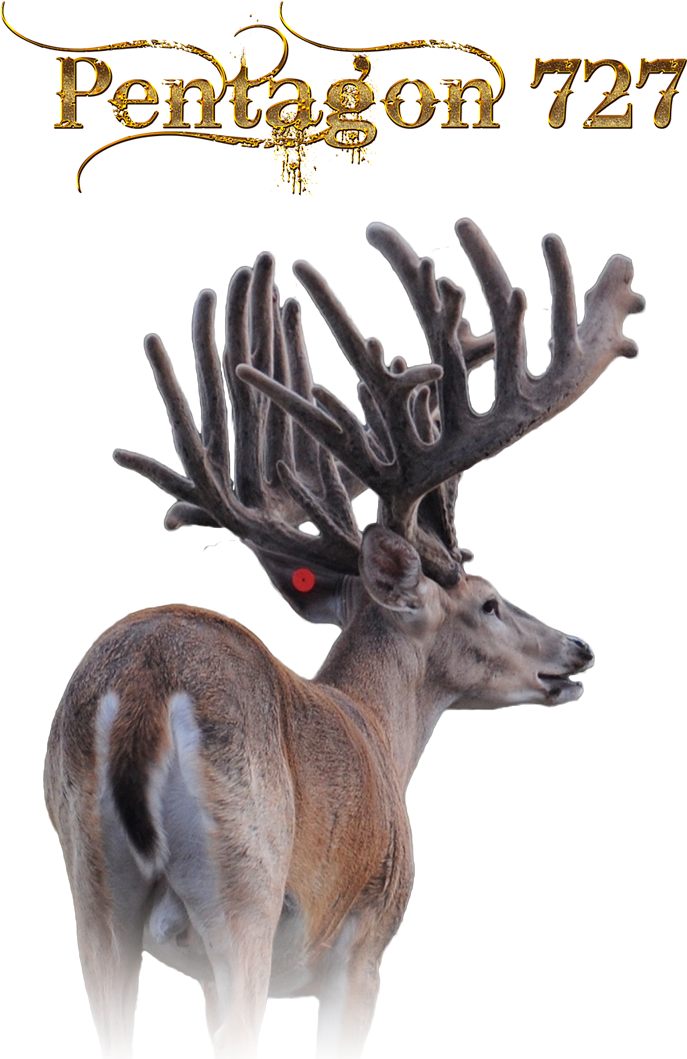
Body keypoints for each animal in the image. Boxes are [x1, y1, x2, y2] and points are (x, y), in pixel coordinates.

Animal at [44, 217, 644, 1059]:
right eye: (489, 601)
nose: (577, 648)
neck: (373, 726)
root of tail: (141, 686)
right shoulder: (365, 934)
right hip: (247, 881)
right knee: (237, 1030)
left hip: (91, 883)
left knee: (111, 1027)